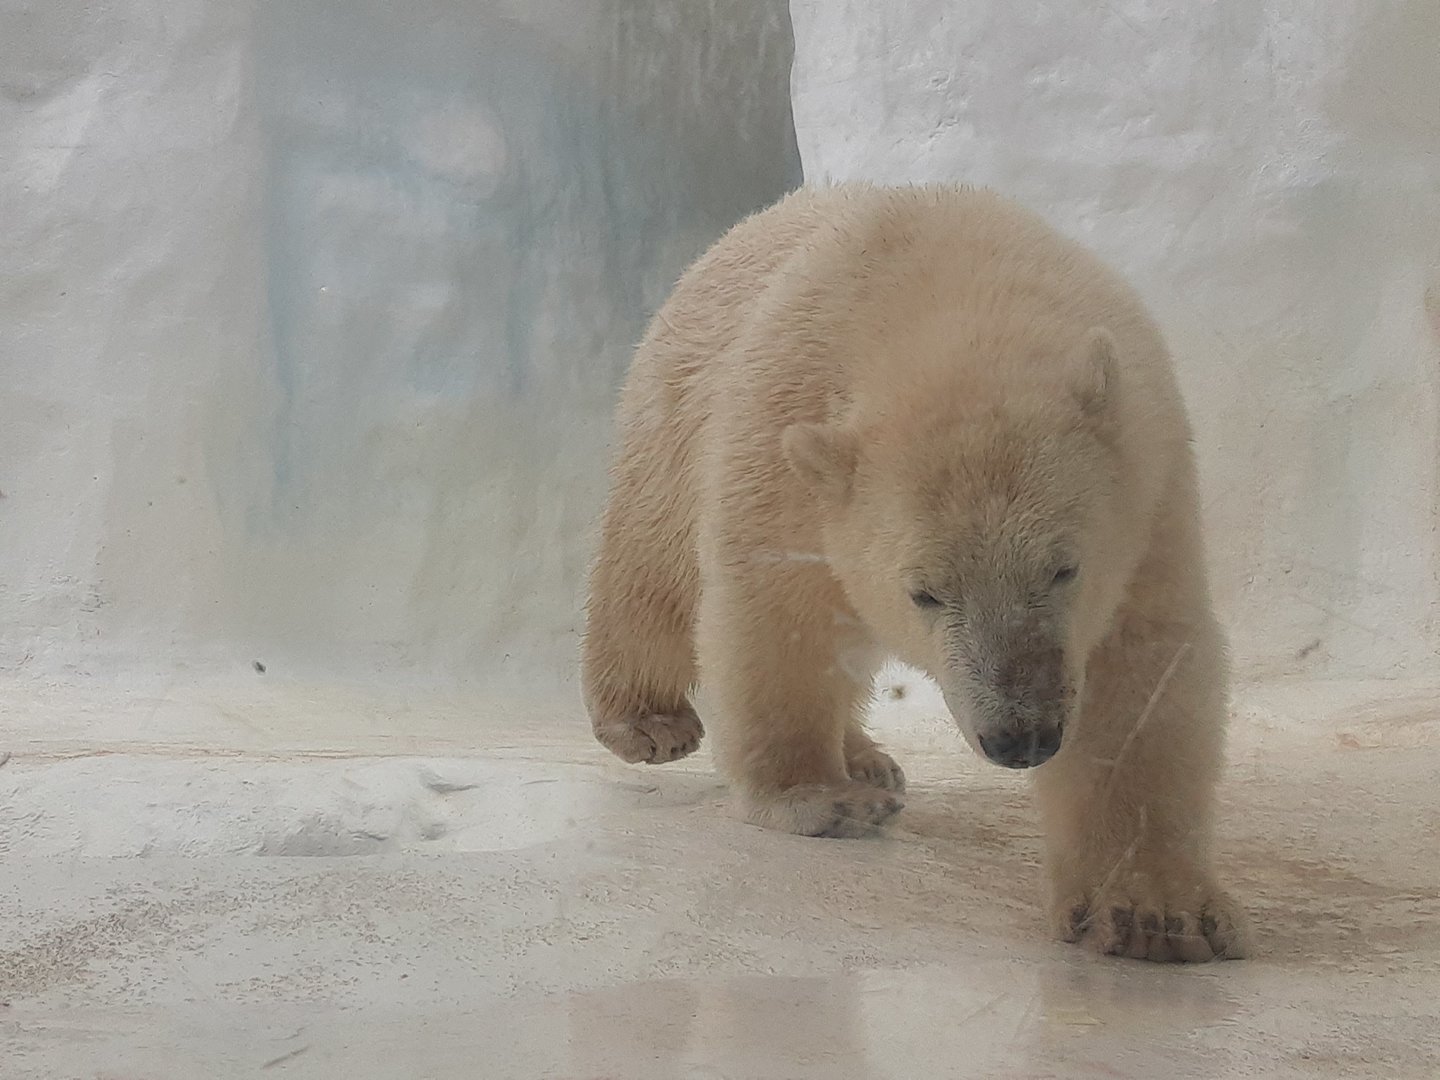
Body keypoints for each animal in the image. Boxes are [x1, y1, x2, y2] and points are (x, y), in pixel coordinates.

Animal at [581, 183, 1246, 963]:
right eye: (925, 592)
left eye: (1064, 568)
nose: (1022, 736)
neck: (947, 300)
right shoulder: (784, 449)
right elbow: (777, 618)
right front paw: (821, 799)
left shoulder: (1148, 479)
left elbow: (1140, 667)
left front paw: (1156, 915)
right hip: (677, 399)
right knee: (652, 561)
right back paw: (650, 721)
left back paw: (869, 756)